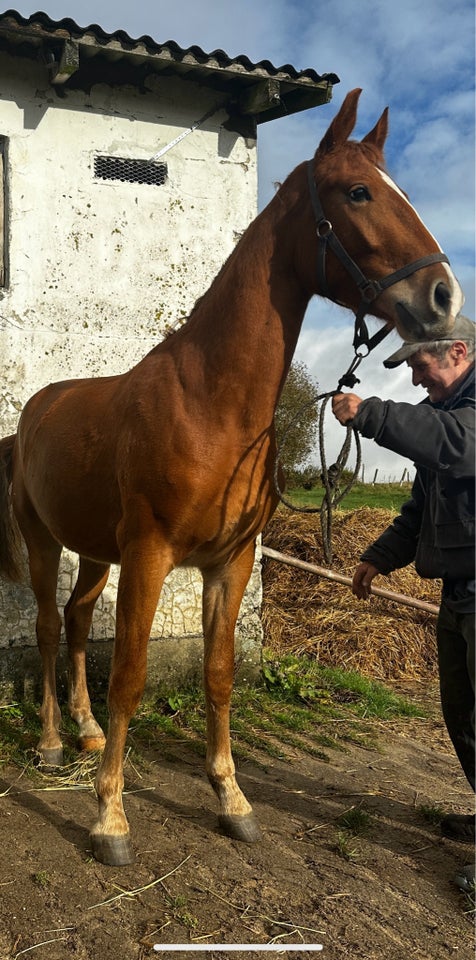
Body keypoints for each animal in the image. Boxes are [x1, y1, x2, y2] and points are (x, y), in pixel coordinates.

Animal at [0, 90, 462, 868]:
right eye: (358, 192)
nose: (443, 297)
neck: (211, 403)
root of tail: (35, 410)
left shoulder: (230, 562)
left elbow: (219, 676)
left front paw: (232, 799)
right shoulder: (151, 555)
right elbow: (130, 676)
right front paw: (110, 817)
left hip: (93, 551)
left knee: (77, 620)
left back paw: (85, 731)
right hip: (43, 542)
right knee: (45, 626)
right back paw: (55, 743)